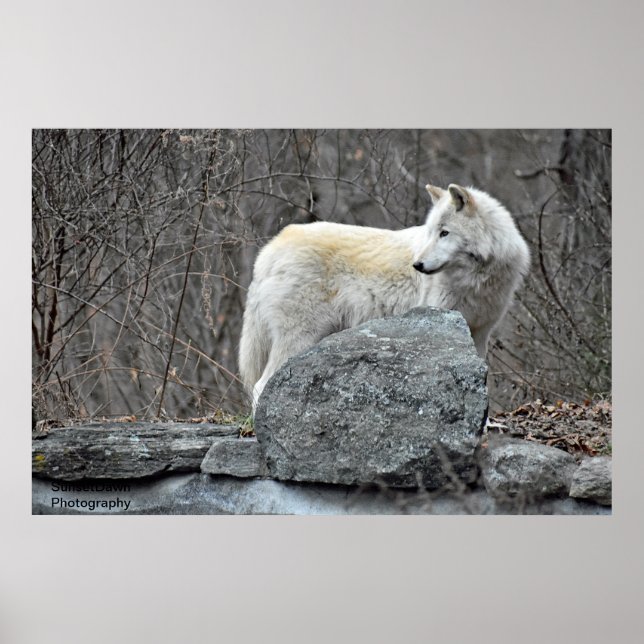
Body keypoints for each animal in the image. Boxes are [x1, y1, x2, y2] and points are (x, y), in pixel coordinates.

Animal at [239, 183, 530, 408]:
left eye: (444, 233)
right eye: (431, 233)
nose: (418, 265)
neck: (476, 279)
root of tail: (270, 249)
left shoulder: (480, 333)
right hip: (300, 338)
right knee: (260, 386)